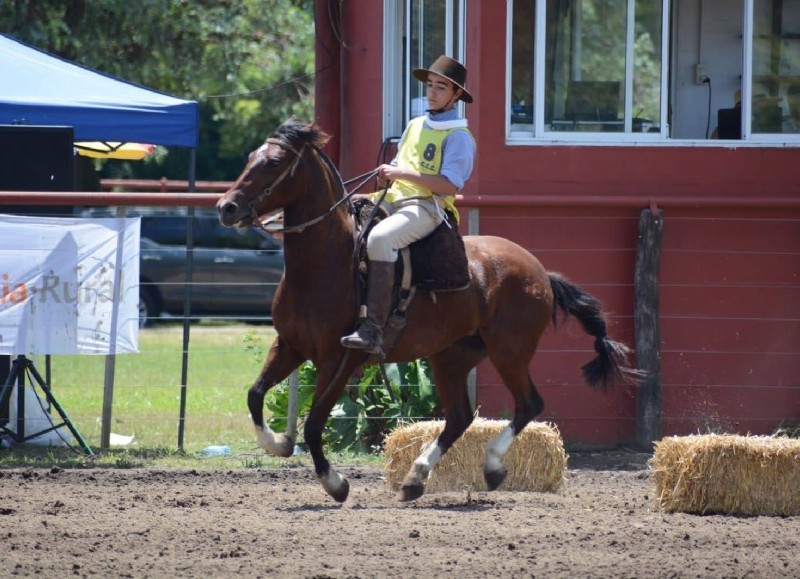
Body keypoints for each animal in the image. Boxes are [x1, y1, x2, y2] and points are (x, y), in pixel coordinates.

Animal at [216, 118, 640, 502]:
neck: (327, 264)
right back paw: (416, 478)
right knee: (460, 417)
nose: (226, 207)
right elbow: (255, 394)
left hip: (510, 352)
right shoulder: (290, 345)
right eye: (250, 157)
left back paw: (490, 465)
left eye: (274, 162)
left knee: (528, 404)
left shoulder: (340, 359)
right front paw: (278, 443)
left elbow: (315, 423)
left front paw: (335, 484)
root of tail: (540, 272)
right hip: (451, 356)